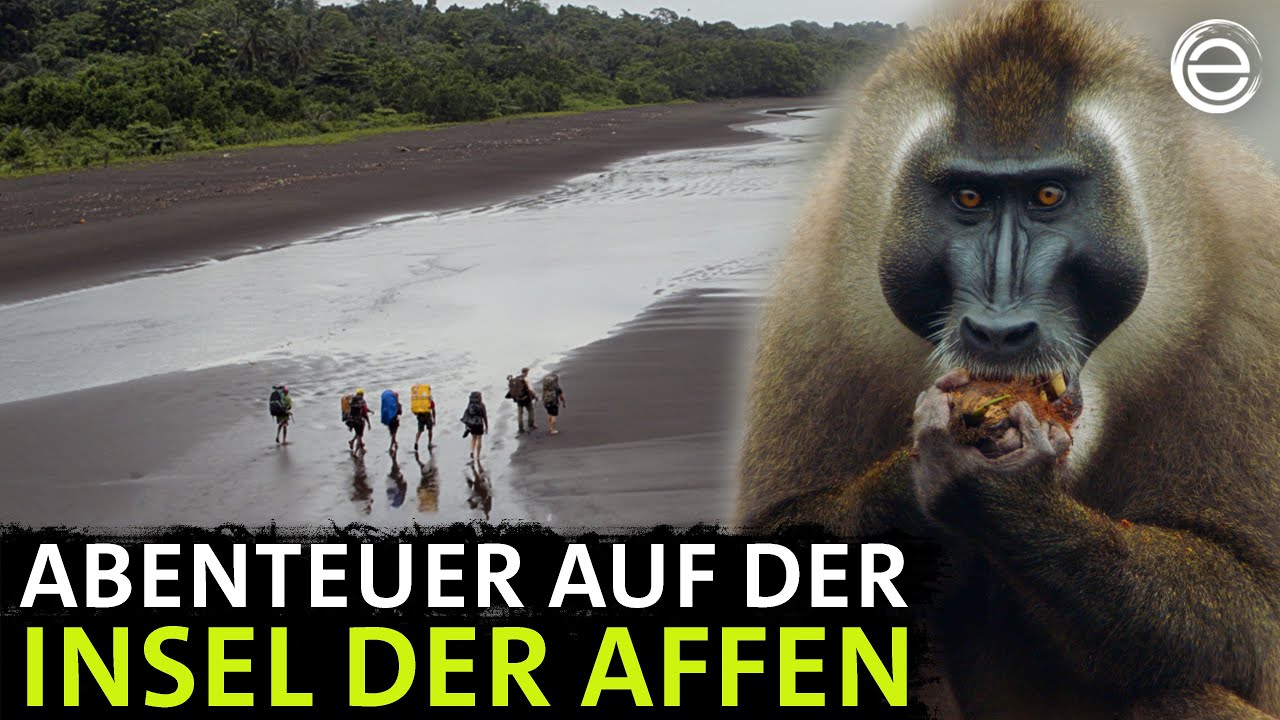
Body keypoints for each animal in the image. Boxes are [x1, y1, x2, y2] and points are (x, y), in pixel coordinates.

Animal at [734, 1, 1280, 718]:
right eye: (969, 199)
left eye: (1048, 196)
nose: (1000, 327)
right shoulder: (812, 286)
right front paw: (916, 482)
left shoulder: (1259, 284)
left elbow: (1253, 607)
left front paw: (1005, 497)